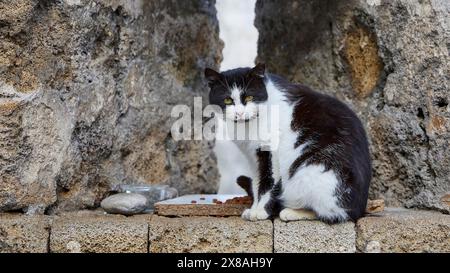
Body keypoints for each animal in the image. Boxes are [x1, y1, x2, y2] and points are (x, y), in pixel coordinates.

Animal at [206, 63, 370, 223]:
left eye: (250, 97)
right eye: (227, 100)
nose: (239, 113)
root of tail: (359, 210)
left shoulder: (270, 153)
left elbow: (267, 182)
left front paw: (260, 212)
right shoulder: (253, 157)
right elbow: (257, 182)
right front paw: (253, 209)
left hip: (313, 172)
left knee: (329, 213)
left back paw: (292, 212)